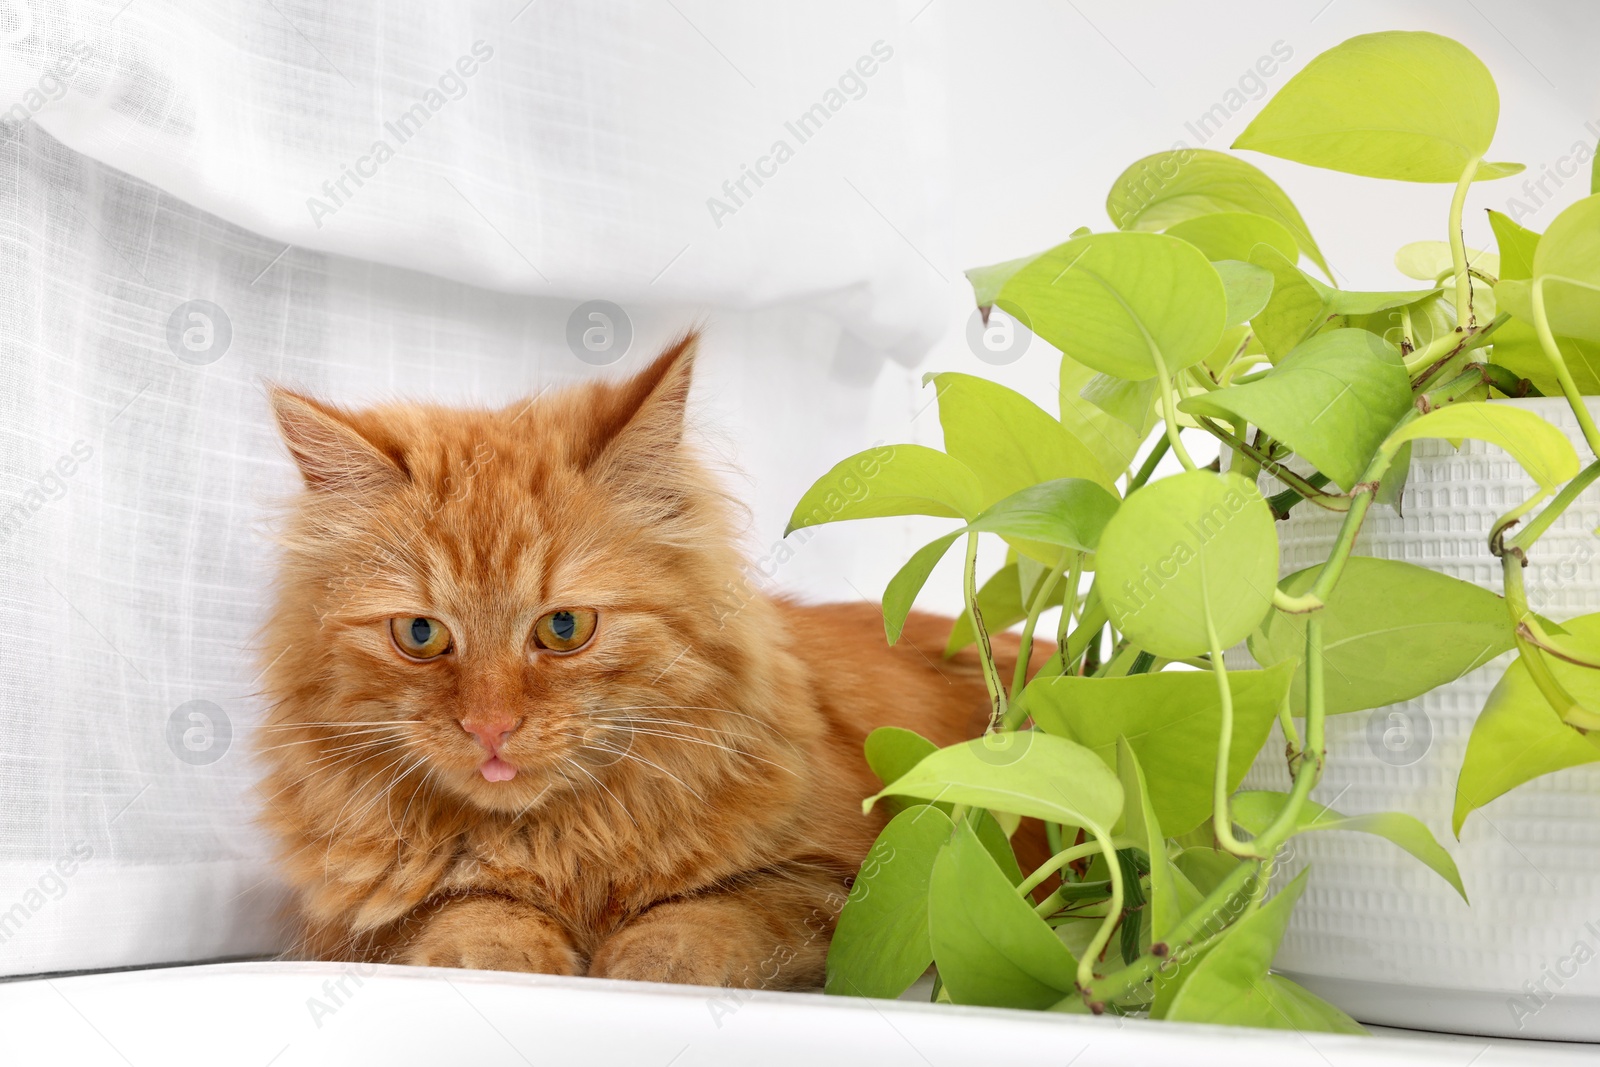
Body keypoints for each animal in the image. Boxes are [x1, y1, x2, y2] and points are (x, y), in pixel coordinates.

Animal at [256, 329, 1043, 991]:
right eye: (420, 634)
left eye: (564, 627)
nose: (490, 727)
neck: (560, 843)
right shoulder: (359, 917)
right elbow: (468, 908)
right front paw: (508, 955)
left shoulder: (846, 883)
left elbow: (714, 914)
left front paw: (641, 963)